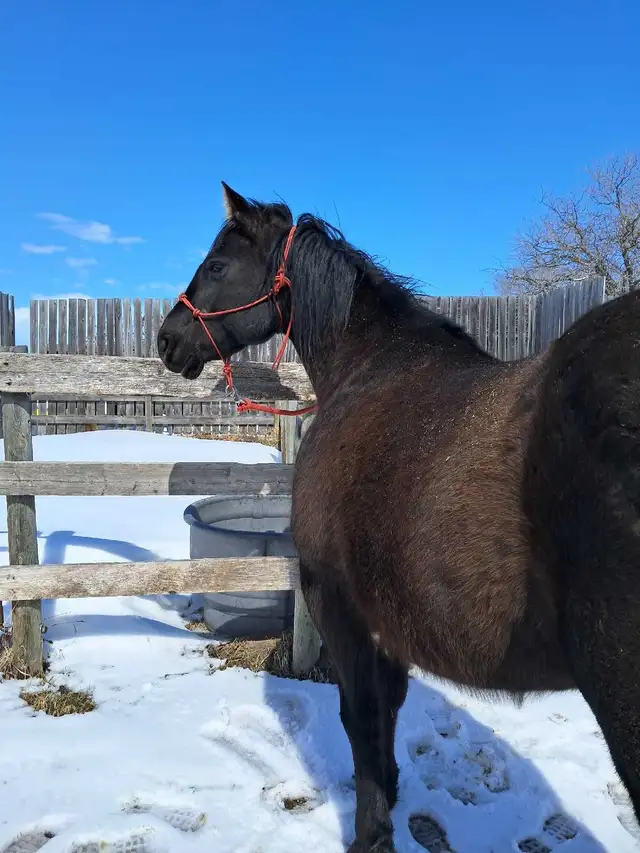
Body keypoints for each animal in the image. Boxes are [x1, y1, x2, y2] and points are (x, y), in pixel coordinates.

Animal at [158, 182, 640, 852]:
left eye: (217, 266)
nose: (167, 339)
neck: (372, 370)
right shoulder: (390, 618)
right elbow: (389, 711)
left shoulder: (339, 604)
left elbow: (362, 718)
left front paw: (371, 832)